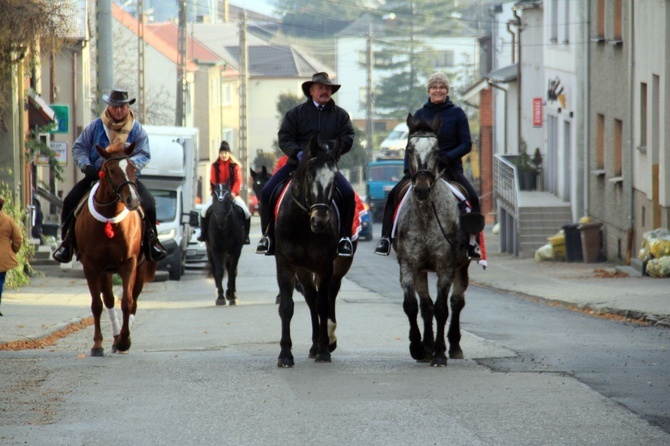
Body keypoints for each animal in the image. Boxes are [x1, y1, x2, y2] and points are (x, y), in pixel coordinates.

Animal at [74, 141, 158, 358]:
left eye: (133, 168)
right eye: (111, 170)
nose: (133, 200)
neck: (110, 217)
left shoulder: (129, 262)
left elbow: (127, 302)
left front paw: (125, 341)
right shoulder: (91, 266)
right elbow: (97, 305)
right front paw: (97, 344)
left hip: (139, 269)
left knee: (133, 300)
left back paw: (121, 339)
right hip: (105, 272)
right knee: (109, 300)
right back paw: (114, 338)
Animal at [274, 138, 356, 368]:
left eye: (335, 178)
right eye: (310, 176)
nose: (320, 221)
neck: (303, 224)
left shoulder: (325, 265)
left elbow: (323, 304)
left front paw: (324, 350)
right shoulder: (285, 264)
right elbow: (287, 306)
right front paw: (285, 354)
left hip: (338, 266)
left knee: (329, 295)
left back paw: (327, 339)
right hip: (303, 269)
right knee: (311, 297)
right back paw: (314, 344)